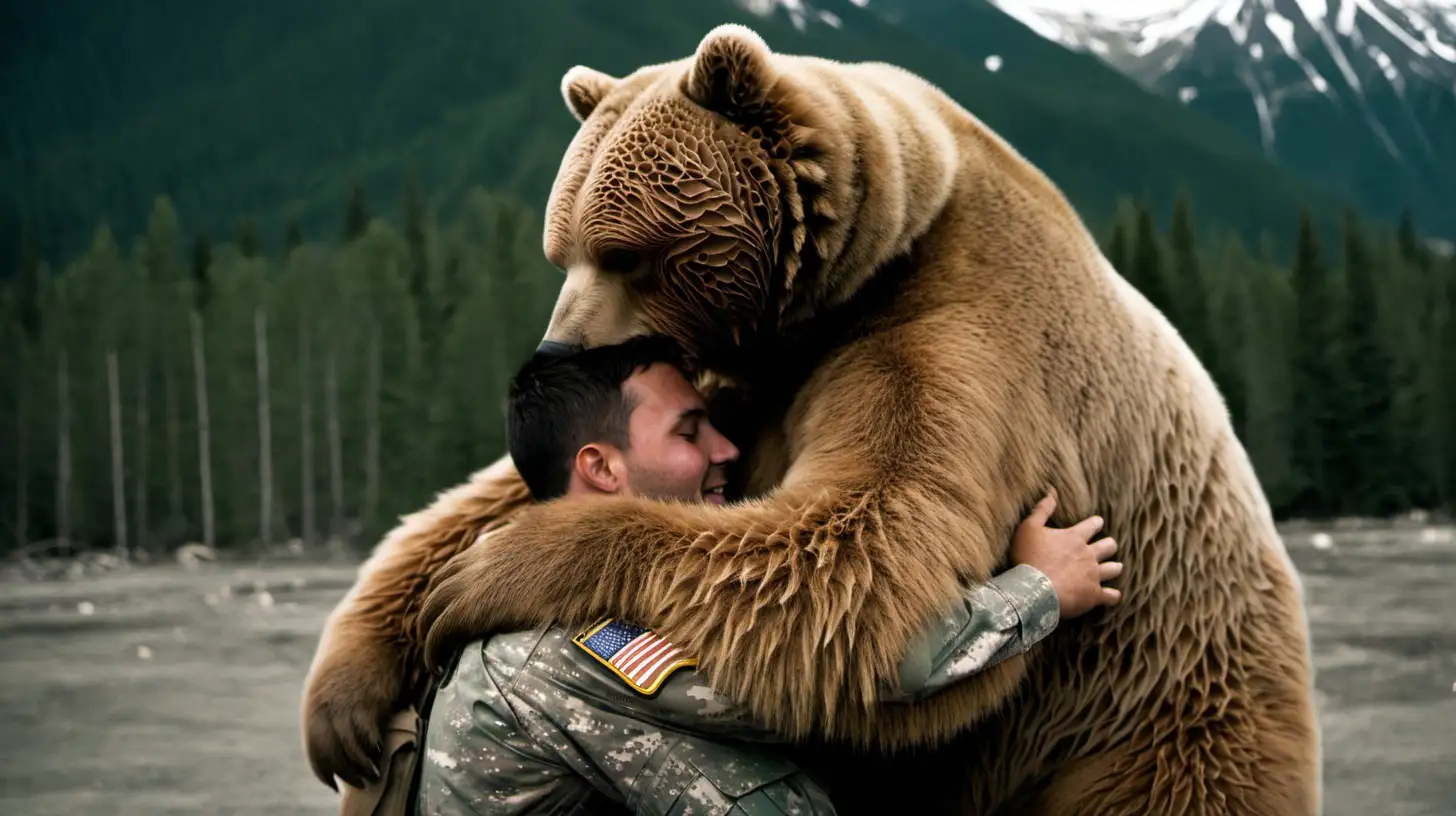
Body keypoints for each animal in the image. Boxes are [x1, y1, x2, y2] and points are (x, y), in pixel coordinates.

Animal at [301, 22, 1327, 810]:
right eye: (563, 247)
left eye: (626, 251)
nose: (560, 350)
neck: (857, 274)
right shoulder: (752, 371)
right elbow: (488, 493)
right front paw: (350, 689)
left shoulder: (956, 347)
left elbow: (868, 571)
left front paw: (496, 570)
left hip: (1148, 712)